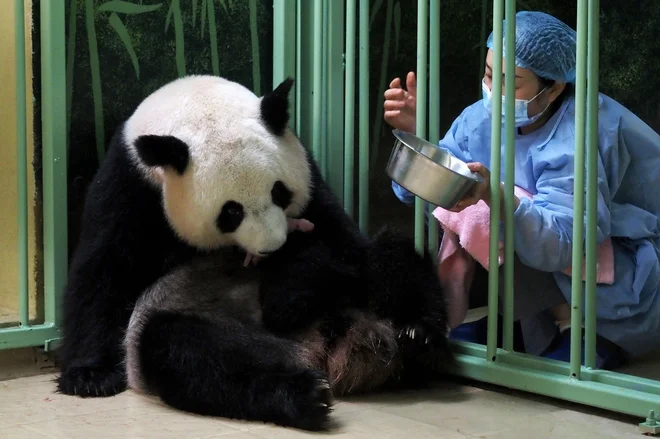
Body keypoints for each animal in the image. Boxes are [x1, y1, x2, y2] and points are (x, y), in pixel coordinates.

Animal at [55, 76, 454, 434]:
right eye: (230, 212)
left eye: (279, 192)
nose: (272, 247)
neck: (193, 101)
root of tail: (322, 353)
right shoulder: (129, 182)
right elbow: (104, 269)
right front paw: (90, 376)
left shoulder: (308, 172)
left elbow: (342, 244)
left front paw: (288, 288)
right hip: (189, 333)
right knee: (190, 353)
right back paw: (303, 395)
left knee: (392, 253)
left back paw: (418, 335)